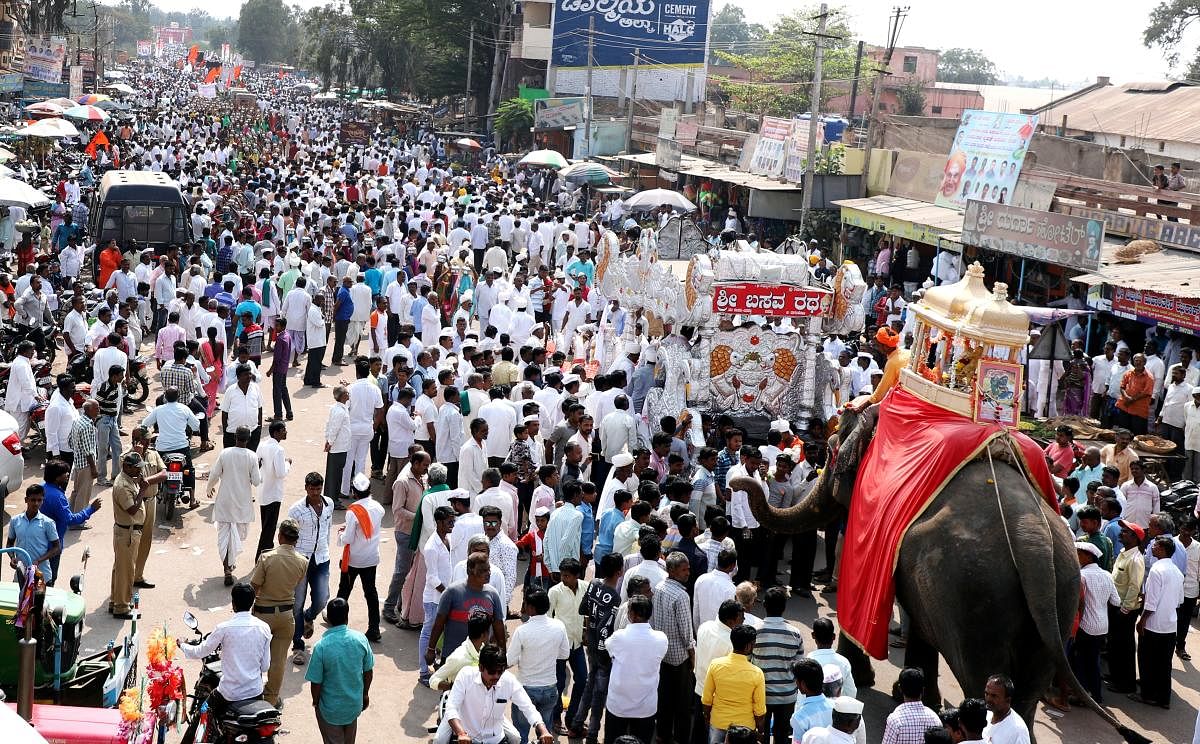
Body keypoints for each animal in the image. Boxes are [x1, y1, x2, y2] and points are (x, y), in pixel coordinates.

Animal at [734, 408, 1147, 744]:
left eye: (833, 454)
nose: (741, 481)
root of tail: (1035, 548)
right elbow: (919, 622)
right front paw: (913, 695)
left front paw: (865, 682)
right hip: (1060, 595)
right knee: (1027, 693)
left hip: (976, 596)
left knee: (984, 678)